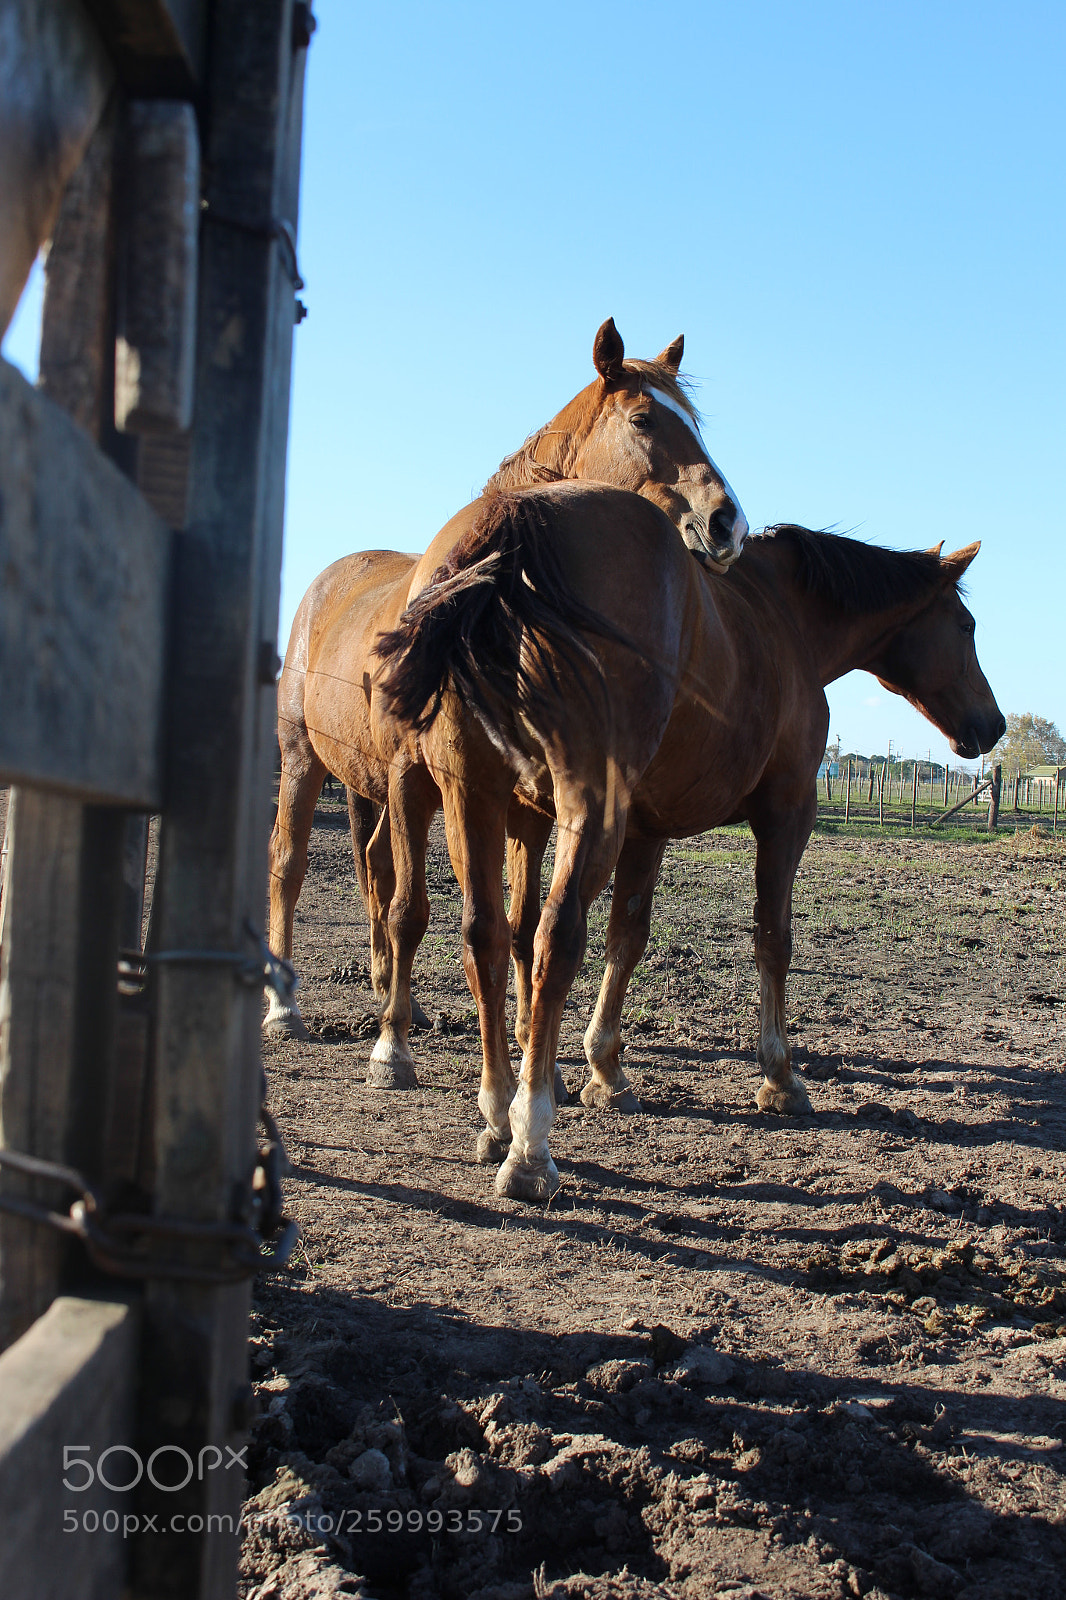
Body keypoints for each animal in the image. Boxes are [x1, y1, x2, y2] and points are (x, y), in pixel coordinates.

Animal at [267, 320, 748, 1070]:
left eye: (694, 423)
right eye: (644, 419)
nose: (729, 523)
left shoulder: (521, 805)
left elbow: (517, 924)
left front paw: (522, 1044)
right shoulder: (419, 779)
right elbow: (417, 911)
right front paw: (398, 1049)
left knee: (372, 863)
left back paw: (391, 994)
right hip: (304, 759)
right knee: (290, 867)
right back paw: (285, 1008)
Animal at [376, 483, 1005, 1202]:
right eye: (966, 626)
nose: (992, 725)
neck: (783, 616)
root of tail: (516, 519)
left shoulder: (646, 829)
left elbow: (628, 938)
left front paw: (606, 1071)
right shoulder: (787, 812)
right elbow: (773, 938)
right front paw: (780, 1077)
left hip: (472, 793)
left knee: (484, 934)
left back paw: (498, 1114)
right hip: (579, 806)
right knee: (554, 937)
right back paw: (531, 1143)